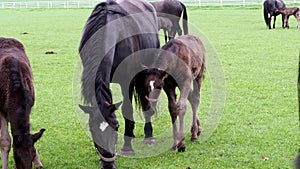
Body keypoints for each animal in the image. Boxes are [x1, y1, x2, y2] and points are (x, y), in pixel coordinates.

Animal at [0, 37, 45, 168]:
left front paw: (38, 163)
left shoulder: (30, 105)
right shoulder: (0, 109)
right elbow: (5, 141)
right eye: (17, 157)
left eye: (33, 155)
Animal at [78, 0, 161, 168]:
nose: (108, 164)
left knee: (147, 103)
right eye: (92, 130)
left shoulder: (127, 80)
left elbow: (127, 109)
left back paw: (148, 136)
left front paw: (127, 148)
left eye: (116, 127)